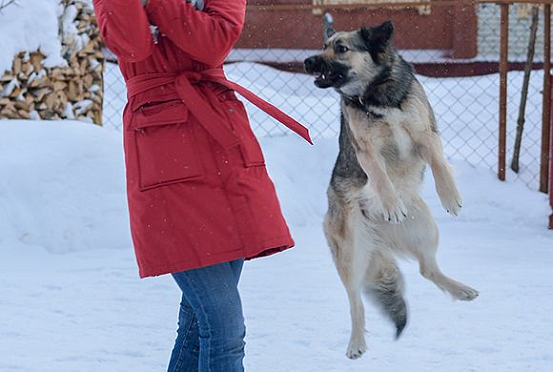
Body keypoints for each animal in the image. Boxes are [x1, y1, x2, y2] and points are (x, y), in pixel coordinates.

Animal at [304, 21, 476, 360]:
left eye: (340, 48)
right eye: (323, 46)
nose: (307, 61)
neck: (377, 95)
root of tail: (377, 234)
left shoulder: (425, 135)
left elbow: (438, 163)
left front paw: (450, 195)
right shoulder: (367, 151)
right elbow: (381, 178)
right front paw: (392, 204)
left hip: (425, 229)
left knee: (427, 269)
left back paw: (462, 289)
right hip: (352, 253)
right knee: (355, 301)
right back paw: (356, 342)